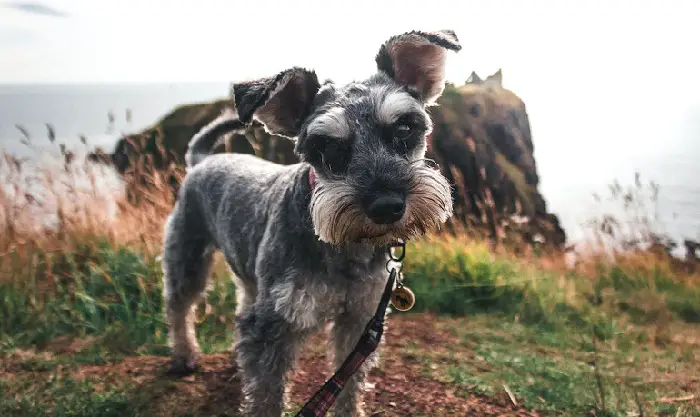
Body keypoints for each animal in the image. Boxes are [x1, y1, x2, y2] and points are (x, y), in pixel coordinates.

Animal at [161, 29, 462, 416]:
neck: (346, 249)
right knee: (179, 305)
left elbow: (349, 385)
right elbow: (267, 396)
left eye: (404, 128)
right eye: (327, 147)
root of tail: (200, 160)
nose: (387, 206)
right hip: (187, 256)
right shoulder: (274, 327)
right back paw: (184, 356)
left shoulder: (359, 322)